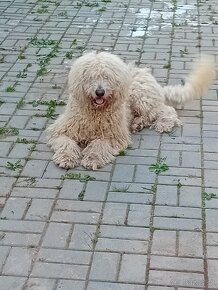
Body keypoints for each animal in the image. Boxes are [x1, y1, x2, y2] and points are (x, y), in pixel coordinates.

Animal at [46, 51, 215, 170]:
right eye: (90, 77)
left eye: (107, 77)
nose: (100, 92)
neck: (95, 112)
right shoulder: (62, 130)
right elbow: (66, 143)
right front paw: (66, 158)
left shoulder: (113, 136)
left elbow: (99, 145)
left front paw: (92, 158)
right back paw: (136, 124)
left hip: (142, 99)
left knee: (166, 110)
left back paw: (163, 123)